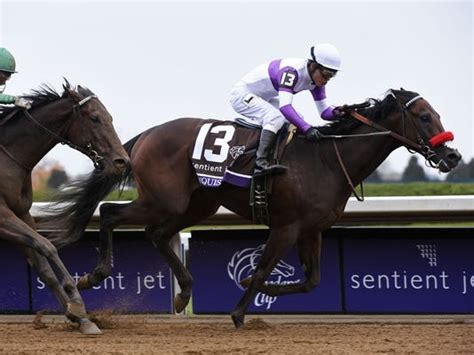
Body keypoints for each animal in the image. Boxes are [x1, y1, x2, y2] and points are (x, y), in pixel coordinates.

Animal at [0, 80, 129, 334]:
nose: (122, 161)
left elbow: (43, 267)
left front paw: (81, 318)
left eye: (109, 117)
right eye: (94, 118)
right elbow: (47, 246)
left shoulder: (21, 213)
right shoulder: (2, 216)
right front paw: (76, 301)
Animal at [41, 89, 460, 328]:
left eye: (436, 113)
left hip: (198, 204)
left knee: (155, 233)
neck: (326, 158)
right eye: (424, 116)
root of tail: (145, 135)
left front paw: (247, 293)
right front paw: (240, 312)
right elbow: (260, 271)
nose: (453, 155)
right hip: (166, 200)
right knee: (111, 213)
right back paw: (93, 276)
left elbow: (311, 281)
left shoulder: (311, 230)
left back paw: (183, 292)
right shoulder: (286, 227)